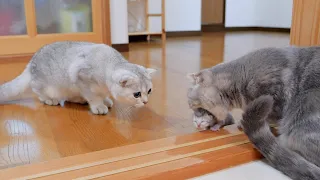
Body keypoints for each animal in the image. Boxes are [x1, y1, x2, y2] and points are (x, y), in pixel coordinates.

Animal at [0, 41, 157, 114]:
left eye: (149, 91)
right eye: (137, 94)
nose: (146, 102)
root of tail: (32, 60)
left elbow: (103, 95)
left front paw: (106, 100)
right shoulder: (81, 77)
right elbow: (93, 97)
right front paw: (99, 105)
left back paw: (79, 99)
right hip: (44, 84)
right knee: (37, 90)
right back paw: (49, 99)